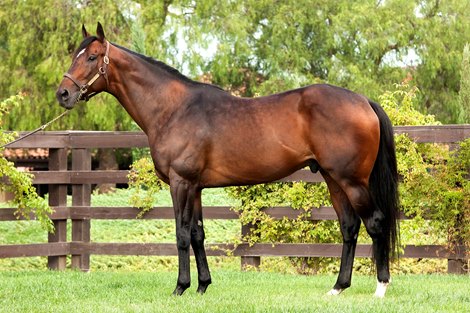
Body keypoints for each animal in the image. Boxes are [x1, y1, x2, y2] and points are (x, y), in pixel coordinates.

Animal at [57, 23, 398, 296]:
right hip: (333, 179)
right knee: (349, 227)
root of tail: (362, 100)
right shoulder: (195, 187)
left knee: (375, 223)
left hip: (352, 181)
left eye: (91, 57)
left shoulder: (181, 183)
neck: (173, 109)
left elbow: (182, 234)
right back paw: (338, 288)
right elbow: (198, 234)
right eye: (74, 54)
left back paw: (380, 288)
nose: (63, 94)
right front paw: (202, 286)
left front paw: (180, 287)